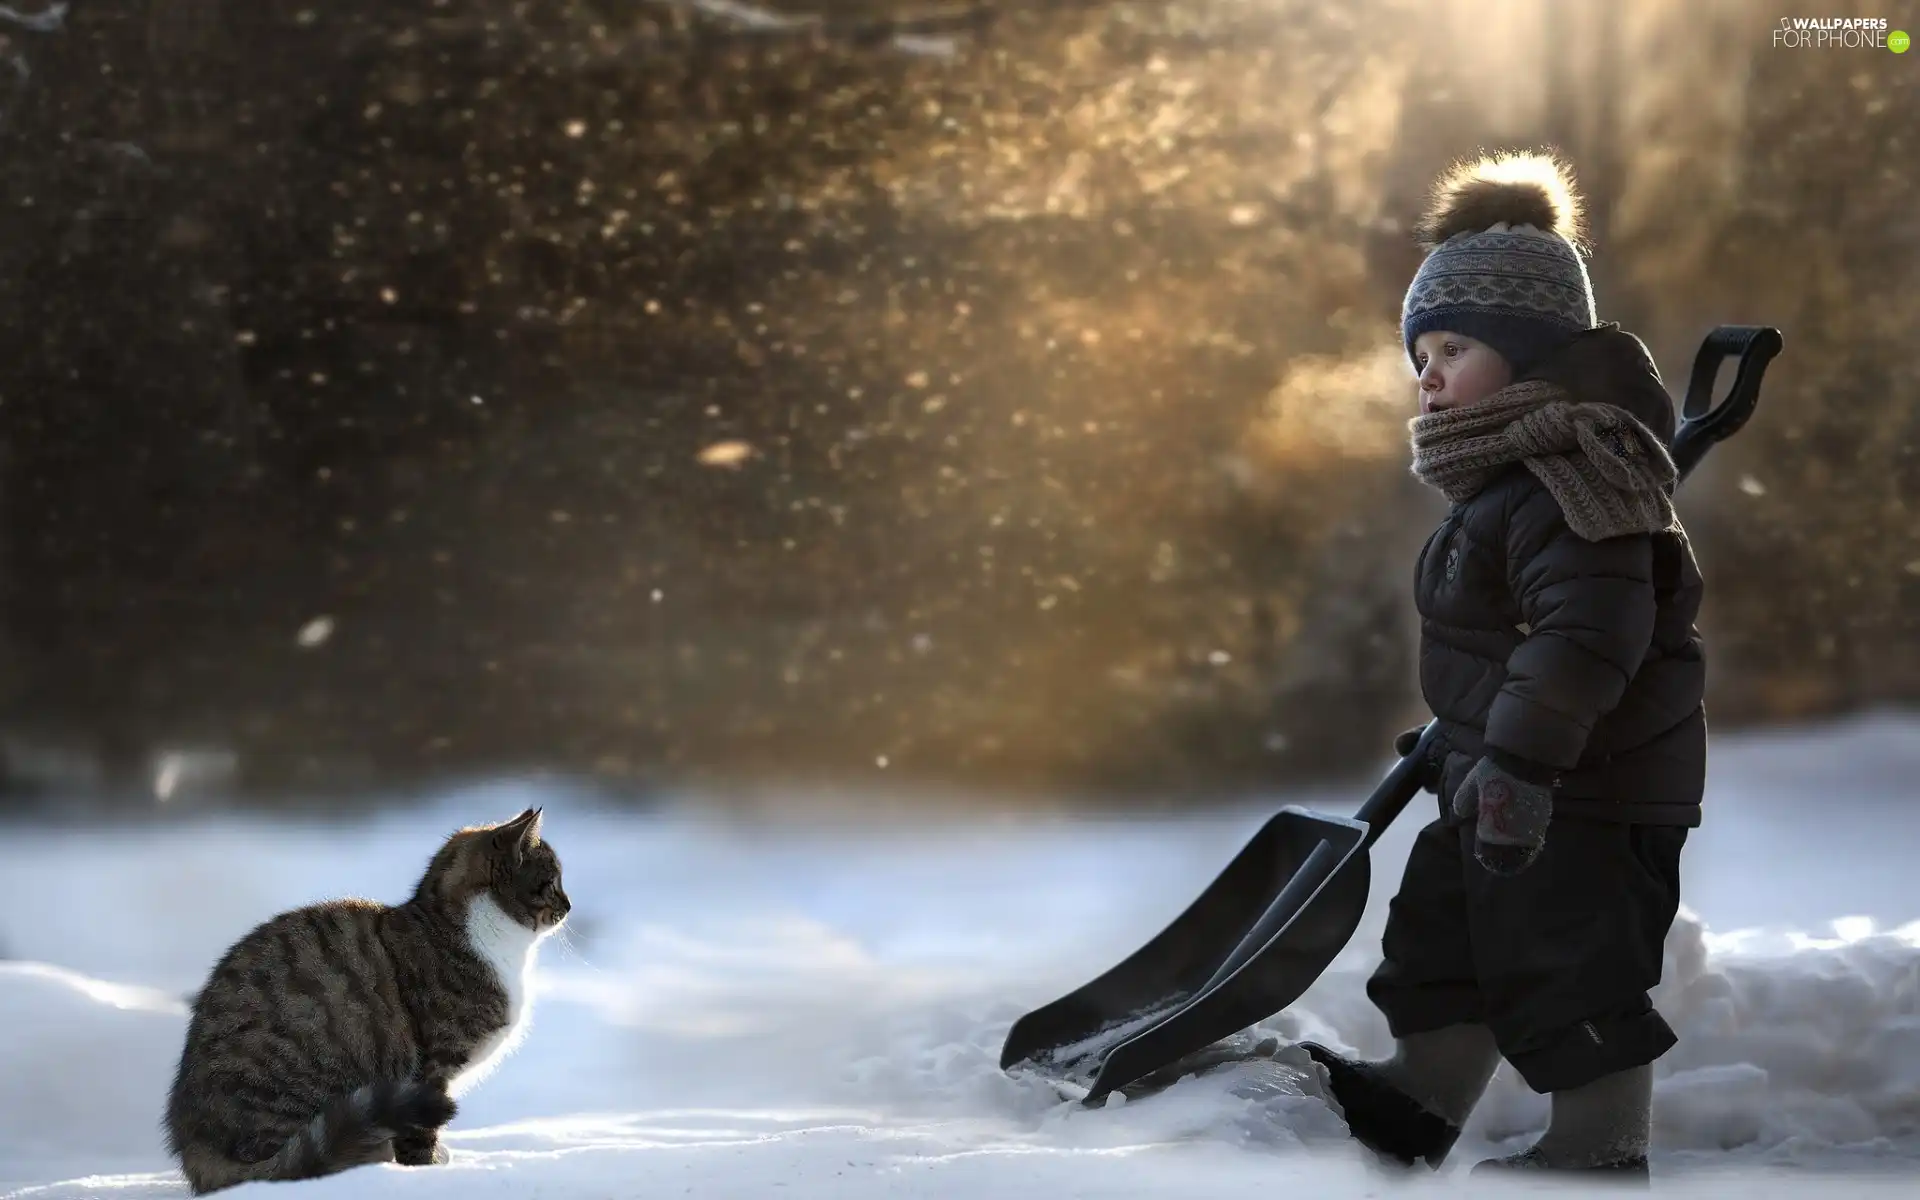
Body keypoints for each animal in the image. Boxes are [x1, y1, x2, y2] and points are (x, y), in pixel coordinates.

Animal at [163, 806, 568, 1190]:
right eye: (551, 882)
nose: (568, 906)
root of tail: (196, 1153)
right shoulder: (432, 1067)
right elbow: (419, 1136)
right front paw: (427, 1171)